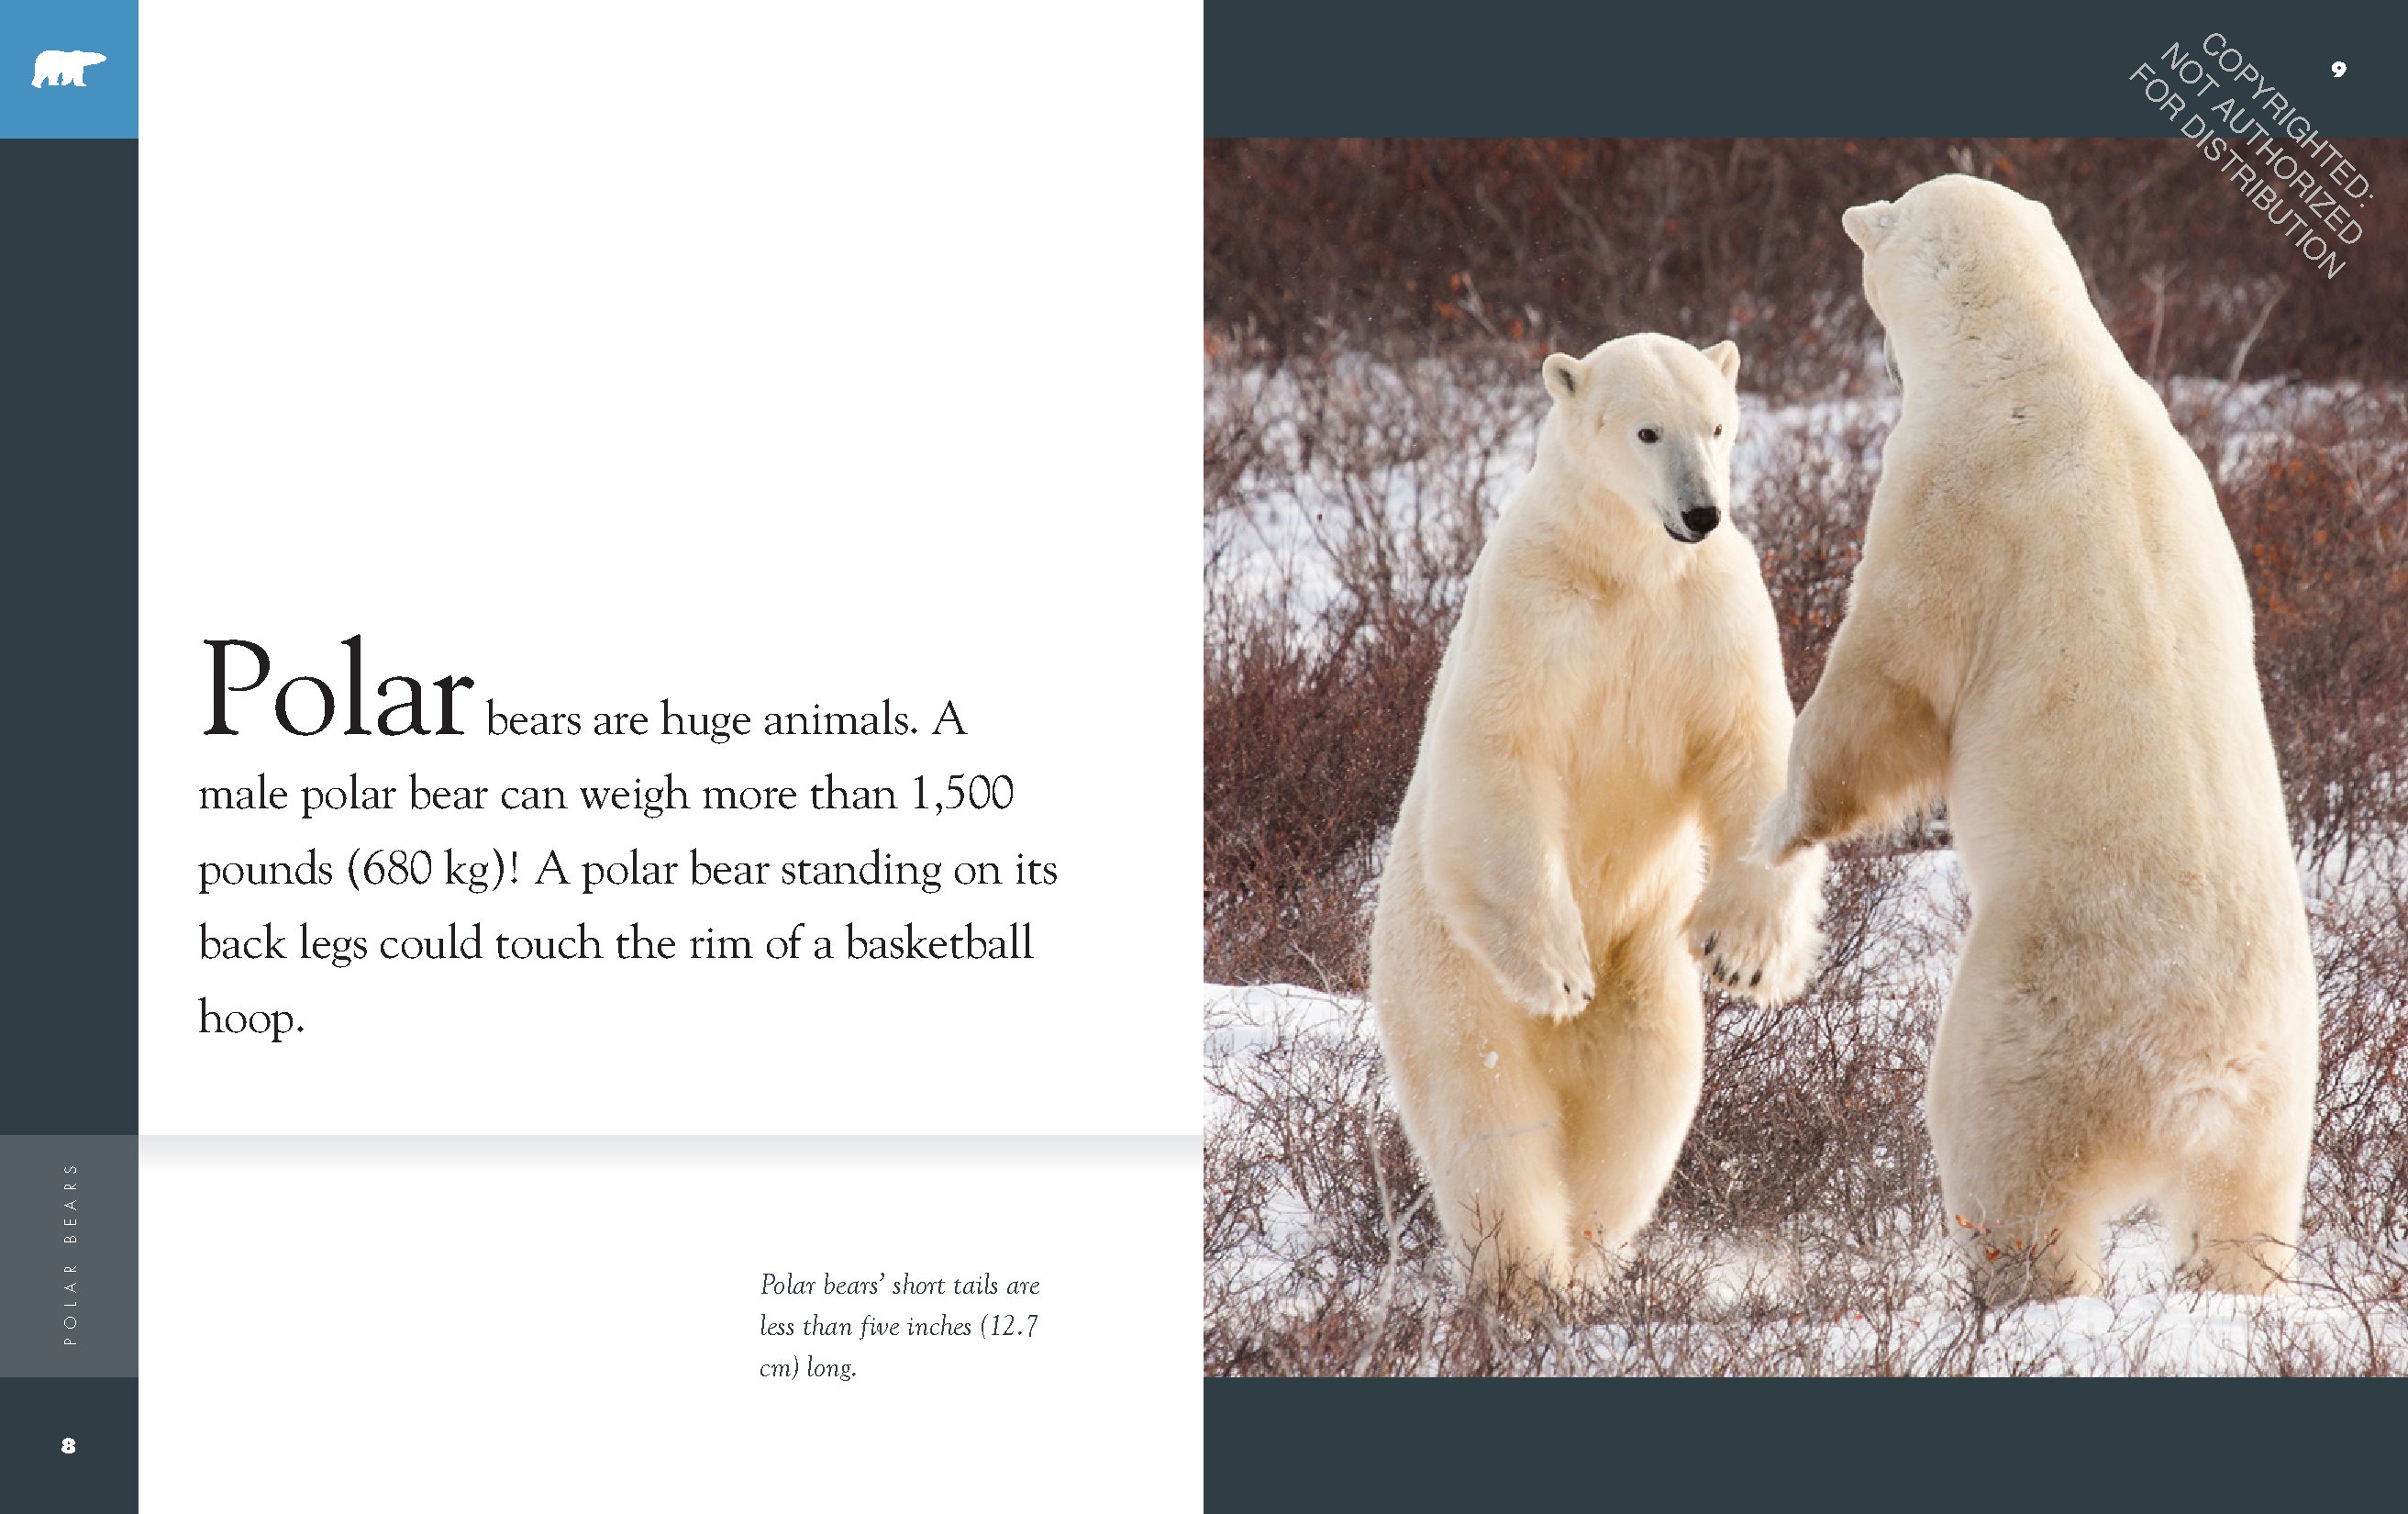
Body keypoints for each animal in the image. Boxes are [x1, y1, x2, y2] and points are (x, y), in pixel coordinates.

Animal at [1369, 332, 1828, 1295]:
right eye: (1647, 431)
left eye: (1717, 425)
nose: (1702, 512)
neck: (1628, 566)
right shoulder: (1532, 608)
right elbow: (1503, 753)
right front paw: (1557, 973)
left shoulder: (1714, 607)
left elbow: (1751, 749)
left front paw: (1744, 955)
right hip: (1445, 977)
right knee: (1486, 1113)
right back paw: (1524, 1273)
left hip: (1644, 964)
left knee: (1643, 1098)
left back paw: (1587, 1256)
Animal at [1756, 175, 2318, 1299]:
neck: (2037, 354)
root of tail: (2203, 1077)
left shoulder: (1951, 497)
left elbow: (1887, 678)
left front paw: (1780, 826)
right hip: (2282, 1091)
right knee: (2244, 1209)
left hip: (2043, 1022)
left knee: (2005, 1156)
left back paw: (2015, 1286)